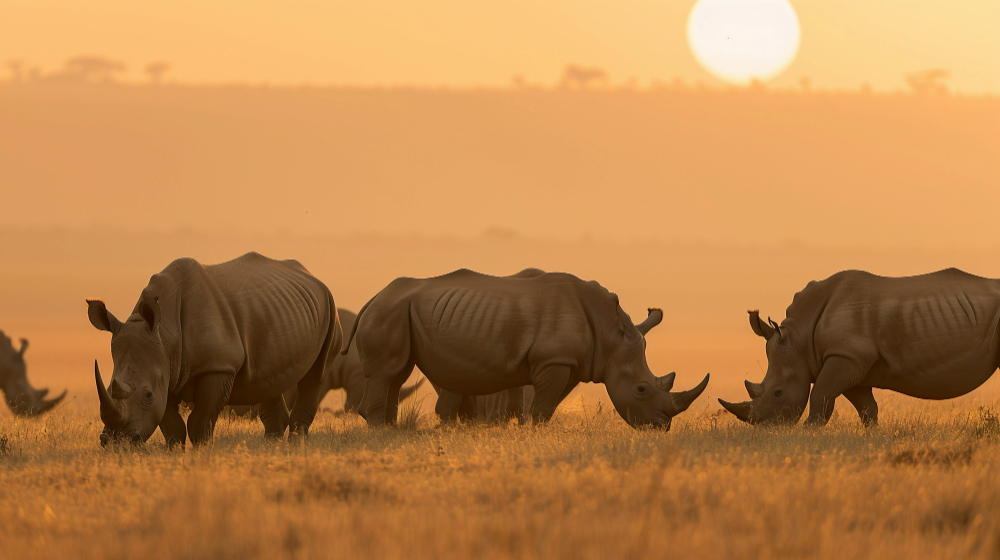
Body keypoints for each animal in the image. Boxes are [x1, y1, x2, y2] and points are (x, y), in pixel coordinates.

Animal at [87, 252, 342, 446]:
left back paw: (296, 445)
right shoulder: (166, 369)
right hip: (278, 310)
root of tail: (312, 275)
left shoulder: (218, 366)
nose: (113, 442)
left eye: (147, 395)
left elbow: (200, 421)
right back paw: (271, 447)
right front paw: (174, 453)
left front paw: (201, 454)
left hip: (330, 307)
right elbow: (171, 425)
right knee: (270, 382)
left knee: (315, 375)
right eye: (108, 388)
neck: (166, 334)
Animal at [344, 269, 709, 428]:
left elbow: (529, 401)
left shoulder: (561, 361)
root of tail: (373, 296)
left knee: (397, 373)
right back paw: (380, 431)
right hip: (390, 310)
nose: (661, 427)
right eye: (641, 389)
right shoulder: (553, 360)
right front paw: (535, 432)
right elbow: (544, 405)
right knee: (388, 372)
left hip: (399, 311)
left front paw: (521, 428)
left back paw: (391, 430)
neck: (609, 336)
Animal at [720, 268, 1000, 427]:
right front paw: (872, 437)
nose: (766, 428)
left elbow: (820, 395)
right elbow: (866, 408)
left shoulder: (848, 355)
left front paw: (808, 432)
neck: (800, 337)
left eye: (777, 393)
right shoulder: (851, 360)